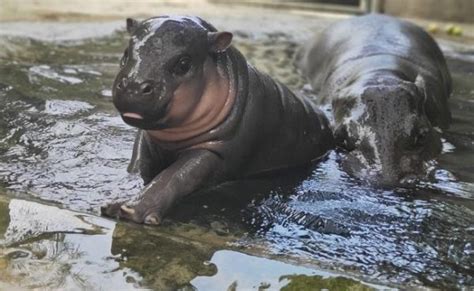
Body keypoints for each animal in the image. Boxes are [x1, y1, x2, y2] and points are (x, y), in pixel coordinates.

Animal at [102, 16, 336, 226]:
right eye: (125, 53)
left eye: (184, 63)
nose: (133, 86)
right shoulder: (147, 137)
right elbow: (137, 165)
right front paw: (116, 198)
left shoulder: (219, 150)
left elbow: (176, 176)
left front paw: (131, 209)